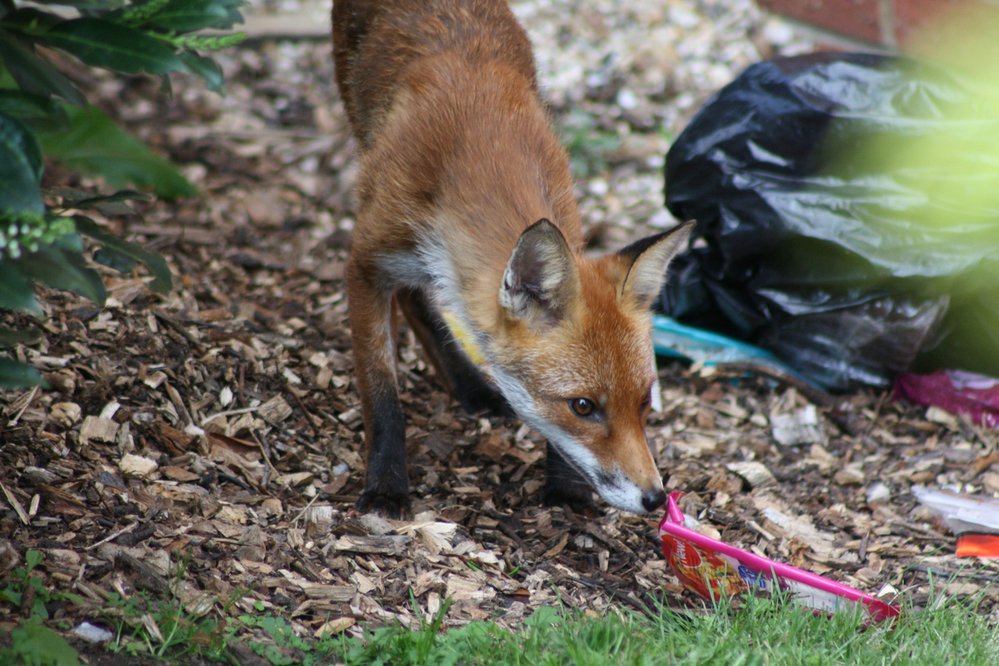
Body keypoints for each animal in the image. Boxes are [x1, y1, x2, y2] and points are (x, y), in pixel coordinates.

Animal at [332, 0, 692, 516]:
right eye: (583, 406)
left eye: (645, 401)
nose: (656, 499)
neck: (481, 142)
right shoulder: (366, 263)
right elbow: (381, 393)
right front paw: (386, 485)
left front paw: (565, 486)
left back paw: (471, 386)